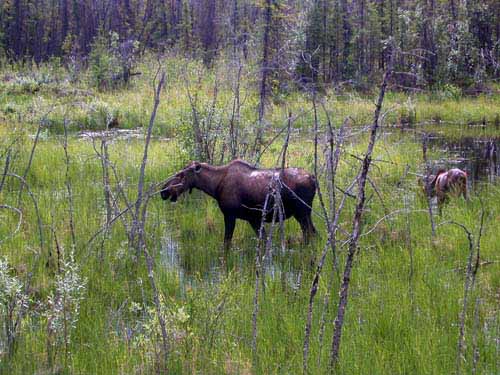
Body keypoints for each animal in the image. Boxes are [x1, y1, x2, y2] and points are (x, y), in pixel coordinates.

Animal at [160, 160, 316, 248]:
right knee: (313, 233)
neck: (215, 186)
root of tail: (314, 179)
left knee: (310, 234)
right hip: (304, 214)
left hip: (302, 213)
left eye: (181, 175)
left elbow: (226, 243)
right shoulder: (254, 219)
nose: (163, 191)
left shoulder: (230, 215)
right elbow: (263, 241)